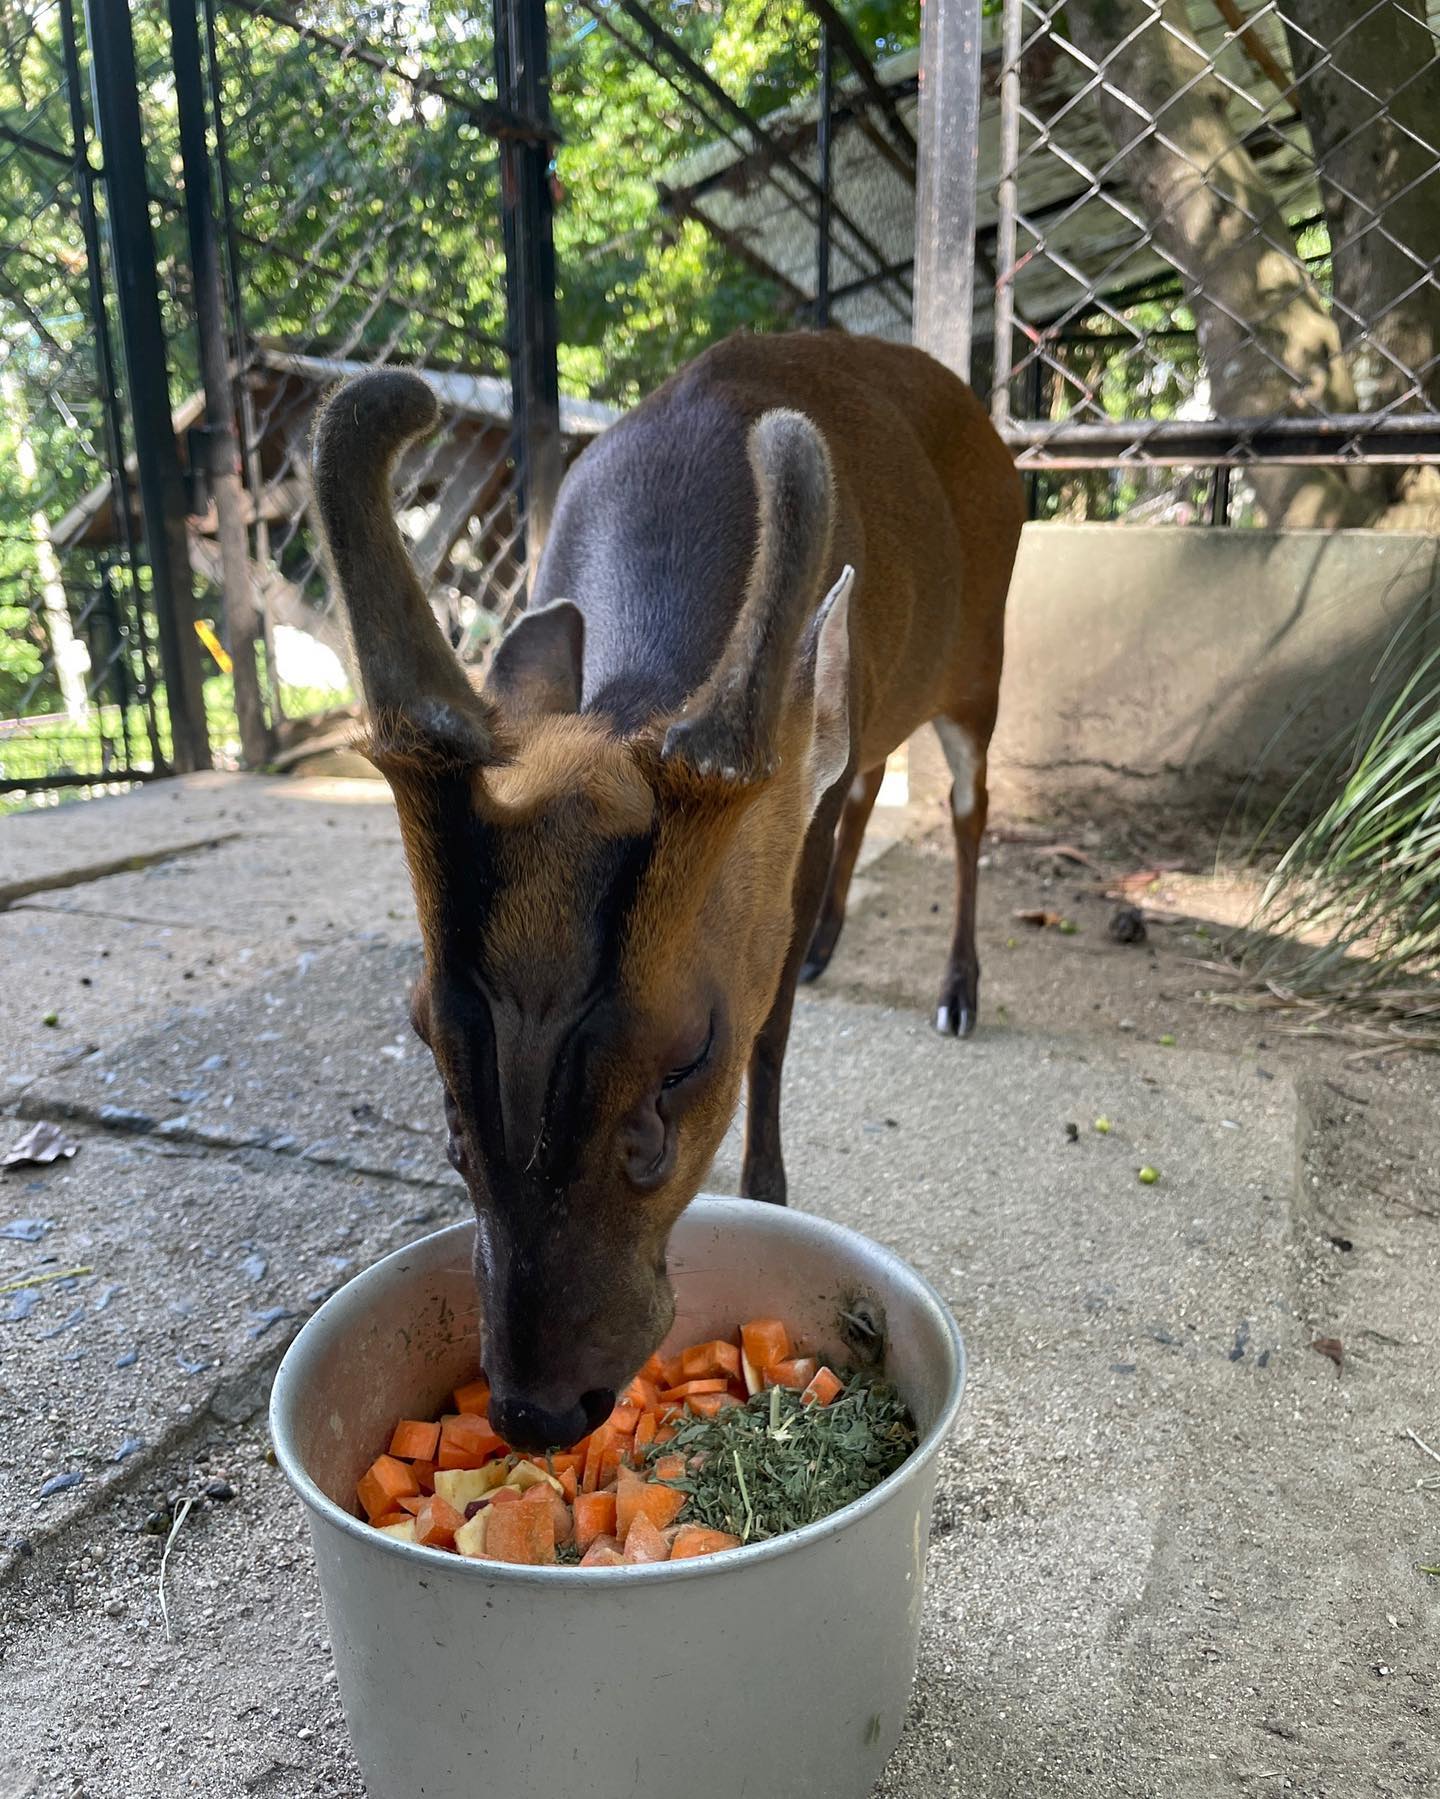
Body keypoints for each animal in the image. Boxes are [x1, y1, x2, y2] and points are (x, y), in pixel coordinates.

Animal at [315, 331, 1022, 1453]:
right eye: (423, 1026)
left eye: (689, 1057)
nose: (537, 1407)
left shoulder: (799, 806)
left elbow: (774, 1026)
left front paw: (770, 1190)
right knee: (875, 779)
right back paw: (837, 943)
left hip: (981, 657)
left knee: (966, 803)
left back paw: (958, 991)